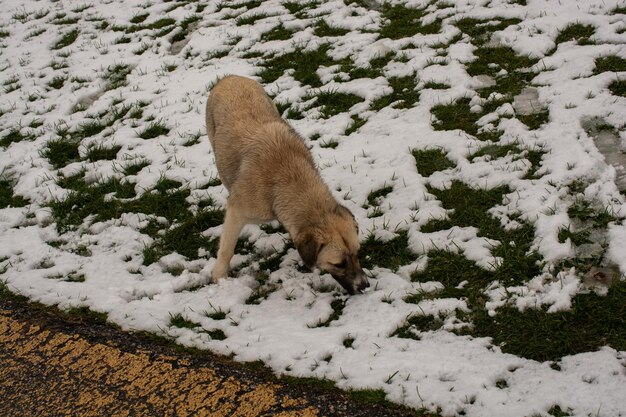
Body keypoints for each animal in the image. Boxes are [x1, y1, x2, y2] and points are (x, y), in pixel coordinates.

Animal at [202, 76, 368, 294]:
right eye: (339, 264)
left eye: (358, 253)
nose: (364, 285)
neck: (287, 178)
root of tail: (229, 77)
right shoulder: (237, 211)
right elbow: (227, 248)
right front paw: (220, 277)